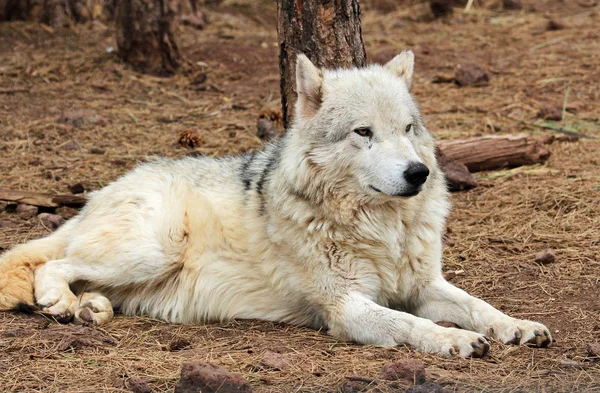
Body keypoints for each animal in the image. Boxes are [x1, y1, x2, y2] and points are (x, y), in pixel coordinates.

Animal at [0, 52, 552, 356]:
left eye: (408, 128)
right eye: (364, 133)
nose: (418, 173)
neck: (380, 230)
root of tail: (103, 190)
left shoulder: (423, 285)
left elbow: (479, 306)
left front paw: (518, 327)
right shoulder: (347, 306)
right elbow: (411, 324)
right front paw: (451, 340)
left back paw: (89, 308)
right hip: (152, 252)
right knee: (51, 264)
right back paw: (61, 304)